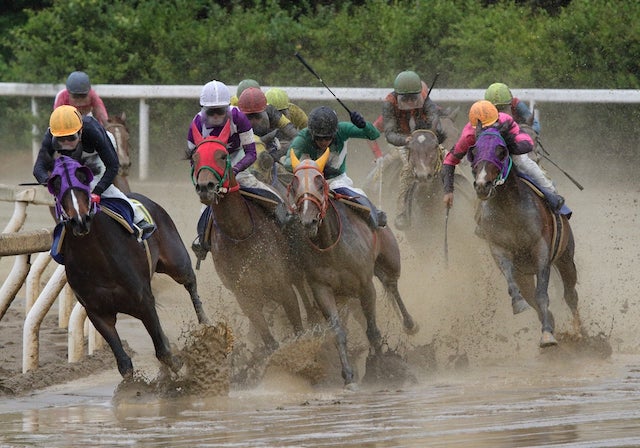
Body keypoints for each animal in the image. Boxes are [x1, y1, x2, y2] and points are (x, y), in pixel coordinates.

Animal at [48, 156, 208, 376]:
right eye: (57, 186)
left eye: (82, 179)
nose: (80, 220)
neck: (97, 261)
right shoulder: (97, 312)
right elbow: (124, 363)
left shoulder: (144, 301)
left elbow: (164, 351)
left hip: (177, 261)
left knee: (190, 281)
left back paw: (206, 325)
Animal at [190, 135, 308, 352]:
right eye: (195, 158)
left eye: (223, 155)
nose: (205, 187)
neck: (240, 233)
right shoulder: (244, 295)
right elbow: (268, 339)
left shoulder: (282, 284)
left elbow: (298, 327)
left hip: (295, 265)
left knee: (302, 288)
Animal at [286, 149, 418, 386]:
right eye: (294, 185)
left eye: (320, 183)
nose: (309, 221)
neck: (331, 246)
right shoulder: (321, 288)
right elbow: (338, 331)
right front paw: (348, 375)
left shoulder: (365, 285)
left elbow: (373, 331)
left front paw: (381, 369)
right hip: (344, 294)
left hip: (389, 258)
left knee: (392, 285)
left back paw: (410, 324)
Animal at [468, 126, 584, 346]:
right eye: (474, 152)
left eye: (501, 151)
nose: (482, 185)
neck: (510, 210)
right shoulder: (499, 248)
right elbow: (513, 281)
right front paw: (518, 303)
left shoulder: (541, 250)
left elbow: (542, 294)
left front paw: (547, 336)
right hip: (525, 274)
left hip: (566, 257)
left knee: (570, 294)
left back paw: (579, 333)